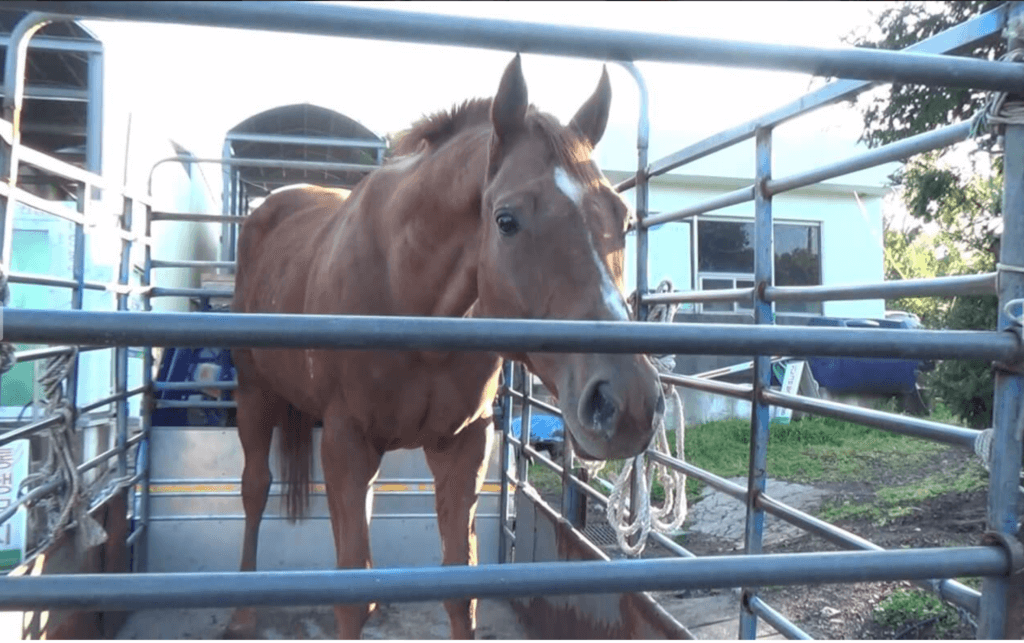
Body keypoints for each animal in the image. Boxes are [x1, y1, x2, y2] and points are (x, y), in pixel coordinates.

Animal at [229, 55, 667, 638]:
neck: (407, 293)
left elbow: (461, 588)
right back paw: (241, 610)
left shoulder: (463, 445)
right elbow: (350, 597)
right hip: (253, 395)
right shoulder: (346, 442)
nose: (628, 403)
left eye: (623, 218)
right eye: (506, 220)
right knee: (254, 489)